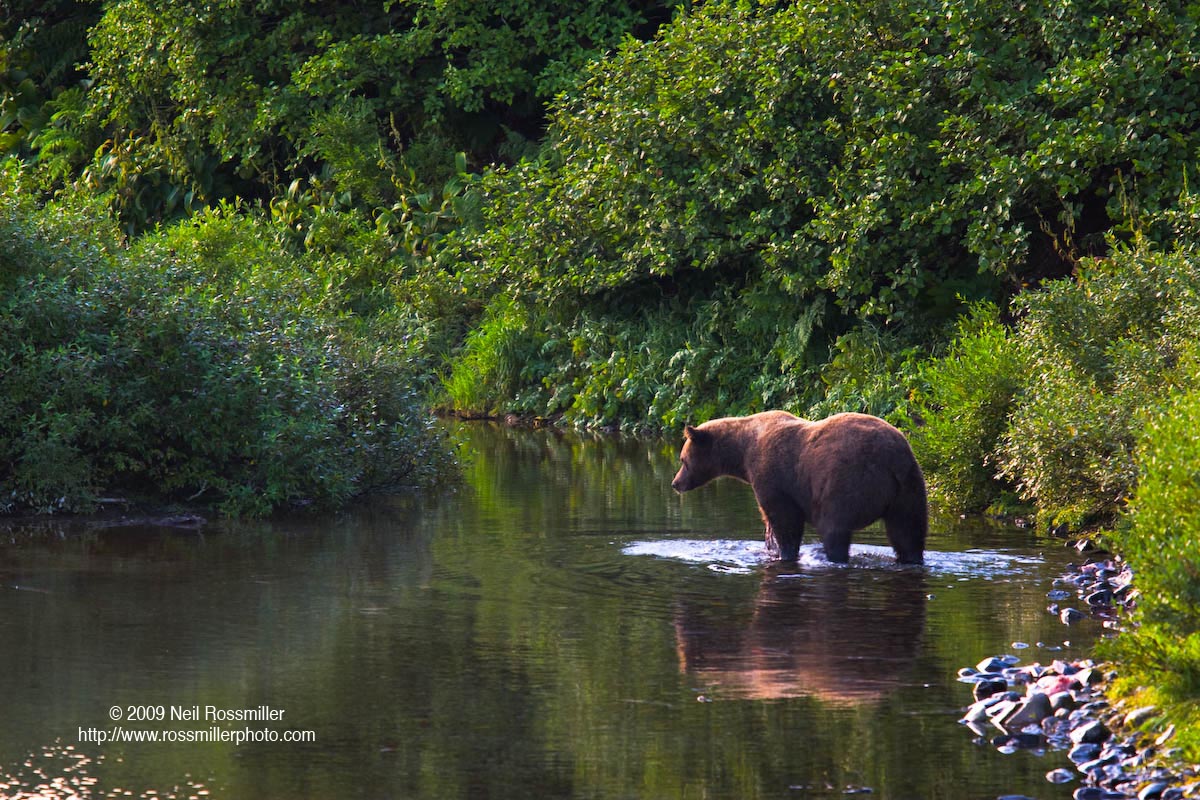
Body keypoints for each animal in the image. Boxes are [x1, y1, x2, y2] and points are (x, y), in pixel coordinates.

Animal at [671, 410, 927, 565]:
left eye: (683, 460)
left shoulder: (773, 476)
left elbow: (784, 519)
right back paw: (911, 558)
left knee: (834, 528)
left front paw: (784, 552)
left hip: (847, 482)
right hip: (909, 487)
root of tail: (891, 459)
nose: (675, 483)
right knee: (908, 531)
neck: (742, 453)